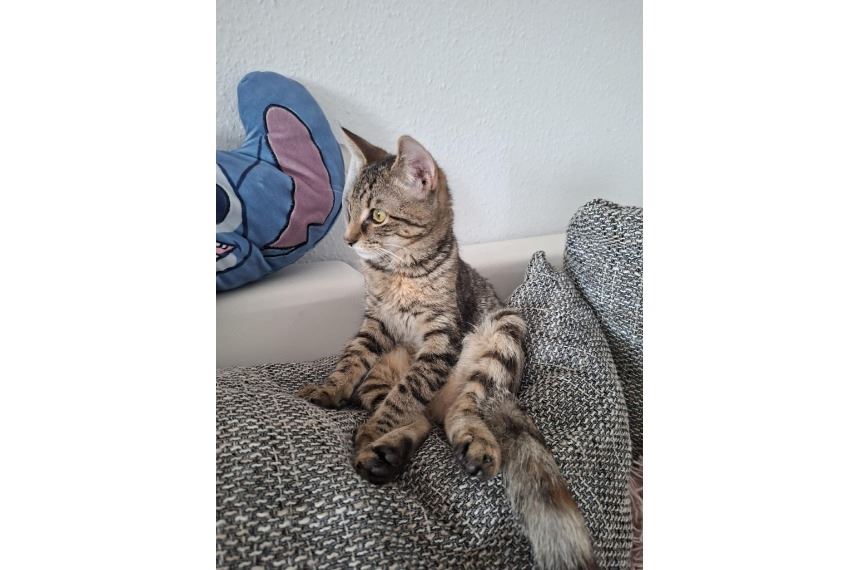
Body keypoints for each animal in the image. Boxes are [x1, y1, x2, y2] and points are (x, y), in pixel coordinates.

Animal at [297, 130, 596, 570]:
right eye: (347, 212)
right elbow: (352, 361)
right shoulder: (374, 325)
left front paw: (370, 430)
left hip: (504, 332)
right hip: (380, 376)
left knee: (462, 408)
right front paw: (329, 389)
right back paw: (386, 454)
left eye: (378, 216)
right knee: (419, 418)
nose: (349, 240)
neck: (400, 272)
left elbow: (408, 391)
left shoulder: (442, 338)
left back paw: (472, 443)